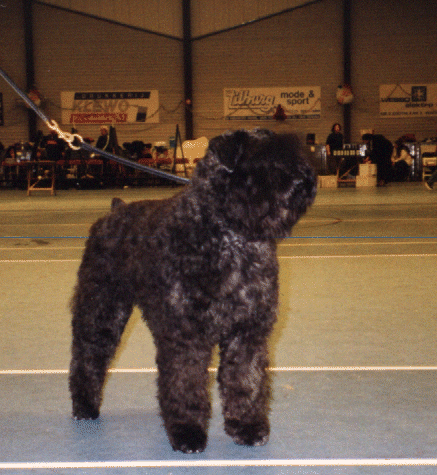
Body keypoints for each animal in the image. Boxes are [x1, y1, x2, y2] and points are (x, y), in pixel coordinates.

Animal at [68, 129, 316, 454]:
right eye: (262, 160)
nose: (305, 180)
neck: (230, 237)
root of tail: (115, 209)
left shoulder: (247, 332)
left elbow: (246, 380)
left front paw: (247, 426)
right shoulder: (186, 335)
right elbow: (185, 382)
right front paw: (187, 432)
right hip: (101, 311)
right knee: (88, 356)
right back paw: (84, 406)